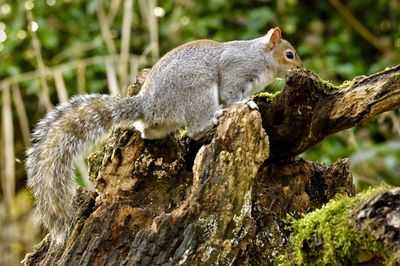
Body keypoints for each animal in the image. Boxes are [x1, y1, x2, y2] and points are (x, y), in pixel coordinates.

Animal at [25, 26, 300, 243]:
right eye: (289, 54)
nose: (301, 69)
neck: (260, 57)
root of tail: (148, 105)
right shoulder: (235, 72)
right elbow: (232, 94)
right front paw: (247, 103)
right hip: (198, 91)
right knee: (196, 127)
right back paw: (216, 116)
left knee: (149, 132)